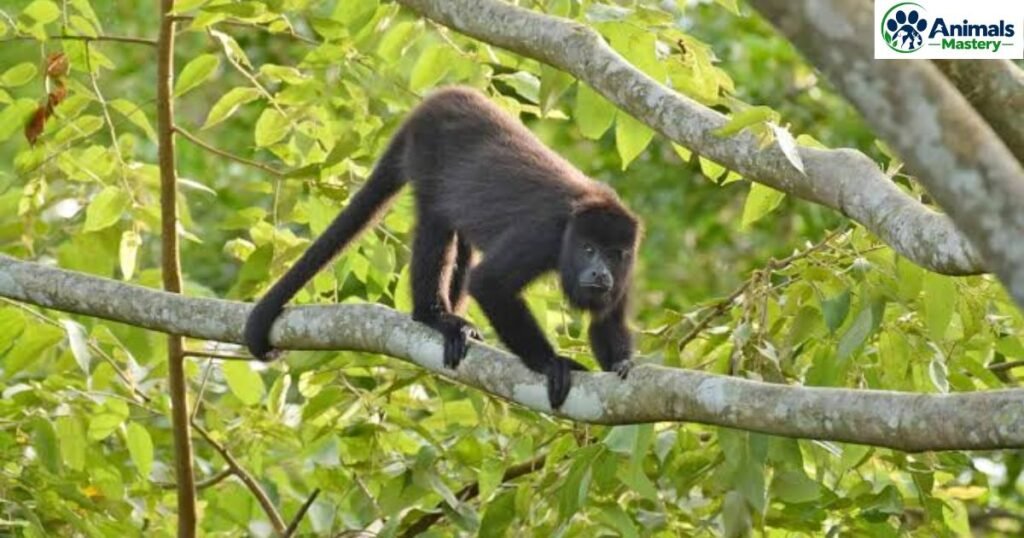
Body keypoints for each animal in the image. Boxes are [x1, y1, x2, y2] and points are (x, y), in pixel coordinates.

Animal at [244, 86, 641, 409]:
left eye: (614, 254)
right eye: (588, 249)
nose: (600, 273)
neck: (572, 228)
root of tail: (432, 104)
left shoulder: (629, 270)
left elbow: (606, 320)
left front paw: (621, 364)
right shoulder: (541, 236)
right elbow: (489, 283)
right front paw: (549, 363)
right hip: (427, 156)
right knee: (435, 226)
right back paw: (435, 316)